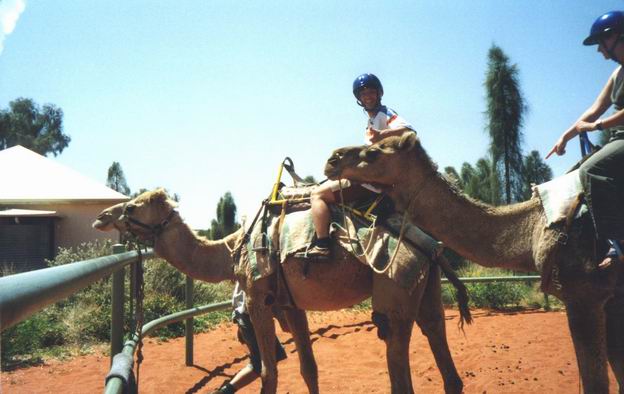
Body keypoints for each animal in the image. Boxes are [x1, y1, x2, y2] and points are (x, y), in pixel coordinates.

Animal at [94, 189, 472, 394]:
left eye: (132, 207)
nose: (102, 216)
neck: (231, 249)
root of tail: (428, 245)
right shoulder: (292, 305)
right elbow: (309, 368)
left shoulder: (258, 298)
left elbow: (268, 371)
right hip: (426, 287)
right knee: (441, 348)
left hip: (395, 284)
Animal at [322, 133, 624, 394]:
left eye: (373, 152)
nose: (332, 159)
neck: (533, 229)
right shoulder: (611, 298)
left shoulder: (584, 295)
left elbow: (597, 383)